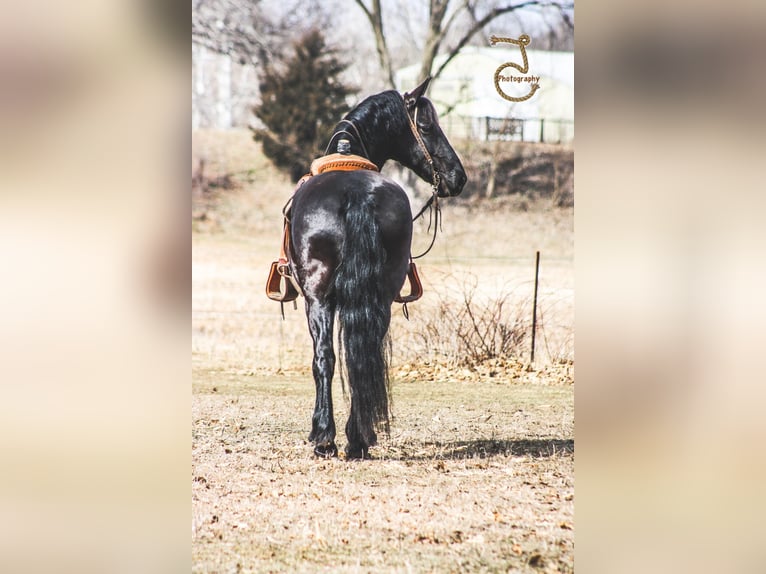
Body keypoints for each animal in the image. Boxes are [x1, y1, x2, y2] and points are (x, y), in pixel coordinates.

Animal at [290, 79, 464, 462]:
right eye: (427, 126)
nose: (458, 177)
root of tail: (358, 194)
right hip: (380, 296)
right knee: (363, 355)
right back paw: (357, 438)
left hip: (318, 298)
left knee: (325, 358)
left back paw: (326, 438)